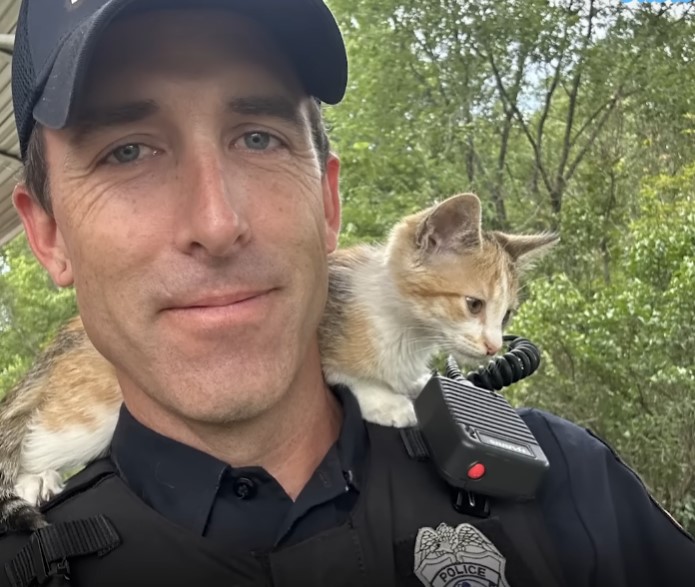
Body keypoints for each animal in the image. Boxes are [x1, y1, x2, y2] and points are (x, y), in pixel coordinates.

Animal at [0, 193, 556, 532]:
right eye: (473, 304)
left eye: (506, 313)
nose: (493, 348)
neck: (402, 324)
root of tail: (63, 340)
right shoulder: (303, 340)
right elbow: (347, 372)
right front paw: (389, 402)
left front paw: (426, 388)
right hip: (94, 410)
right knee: (36, 435)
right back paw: (35, 480)